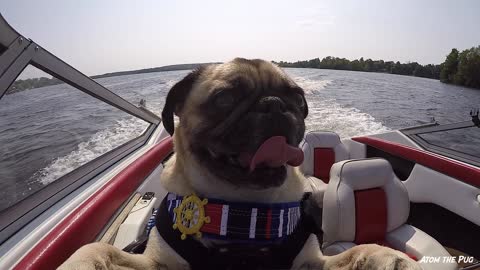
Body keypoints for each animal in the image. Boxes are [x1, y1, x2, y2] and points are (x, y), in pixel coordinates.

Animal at [59, 59, 420, 270]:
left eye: (296, 98)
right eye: (225, 98)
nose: (274, 104)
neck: (243, 215)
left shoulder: (312, 264)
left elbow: (353, 253)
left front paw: (388, 257)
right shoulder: (156, 265)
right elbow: (98, 249)